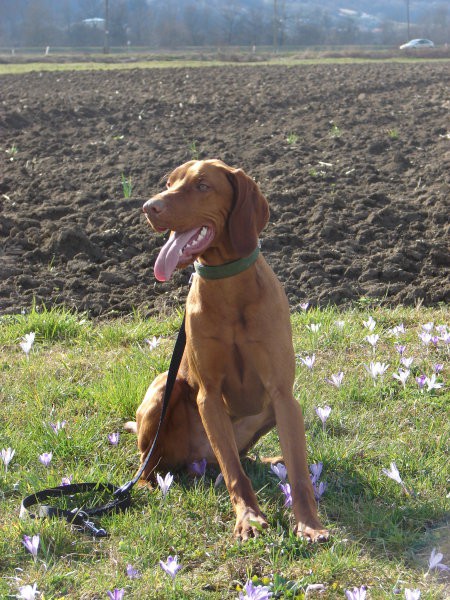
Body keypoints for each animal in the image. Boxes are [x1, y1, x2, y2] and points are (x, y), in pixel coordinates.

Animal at [126, 159, 326, 544]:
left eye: (202, 185)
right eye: (169, 183)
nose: (149, 207)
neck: (229, 286)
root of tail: (197, 462)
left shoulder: (283, 395)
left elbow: (298, 473)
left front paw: (310, 524)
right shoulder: (209, 395)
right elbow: (234, 472)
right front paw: (249, 518)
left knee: (247, 458)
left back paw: (269, 461)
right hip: (163, 390)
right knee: (150, 461)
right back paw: (144, 486)